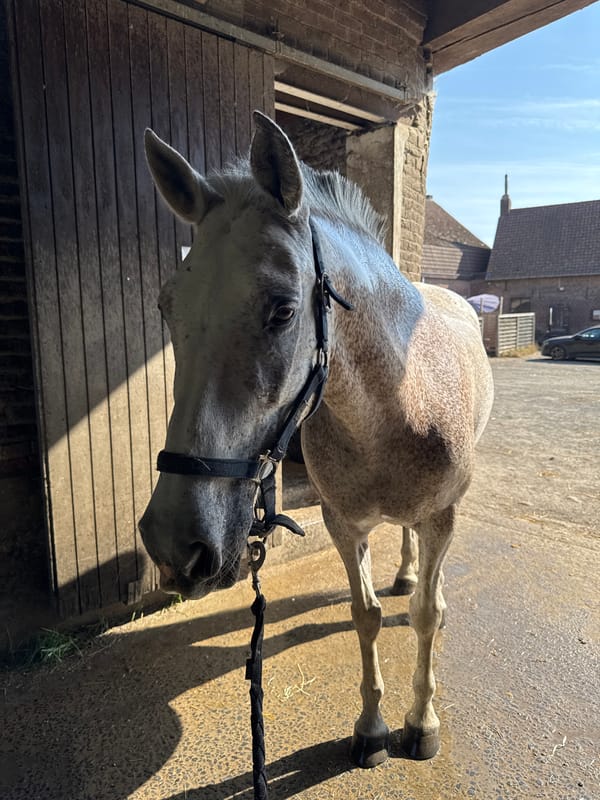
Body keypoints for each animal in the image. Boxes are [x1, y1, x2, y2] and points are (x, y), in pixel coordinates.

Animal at [139, 111, 494, 768]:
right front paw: (372, 729)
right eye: (167, 307)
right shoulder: (342, 523)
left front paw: (421, 724)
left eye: (282, 310)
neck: (395, 408)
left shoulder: (442, 518)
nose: (175, 544)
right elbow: (365, 615)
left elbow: (427, 617)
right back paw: (405, 573)